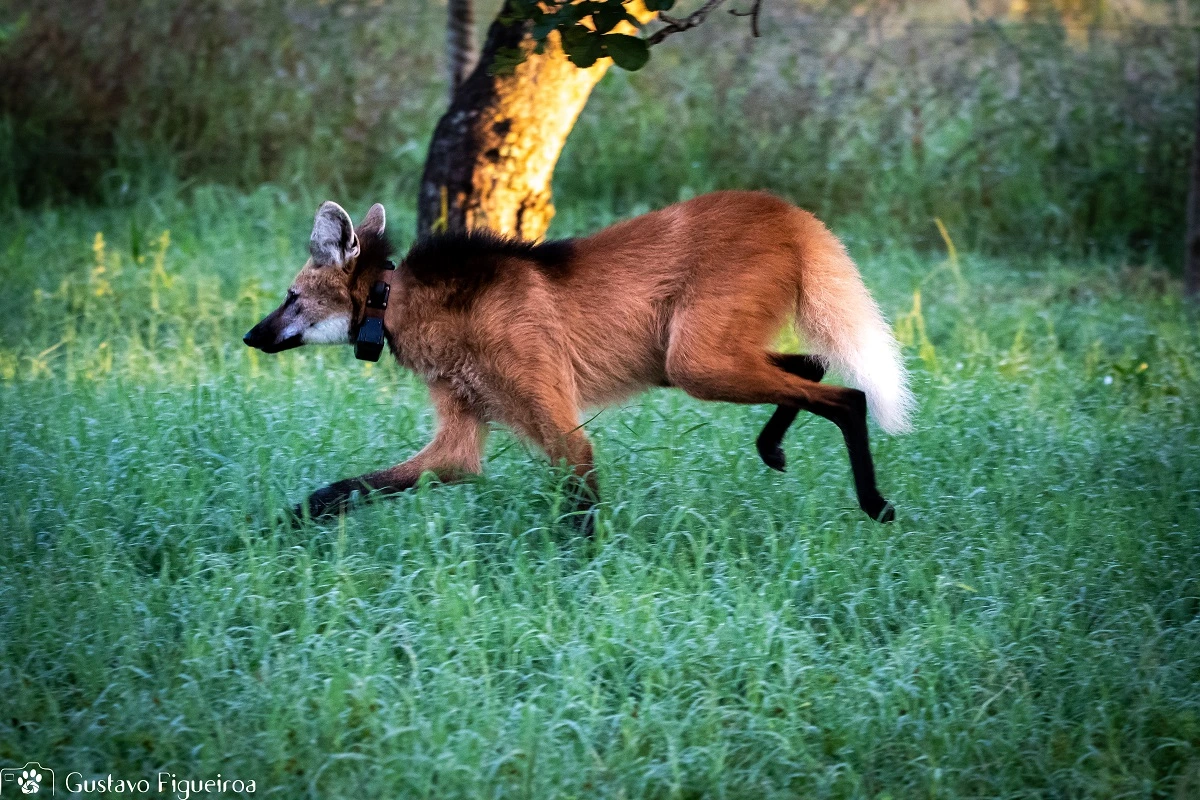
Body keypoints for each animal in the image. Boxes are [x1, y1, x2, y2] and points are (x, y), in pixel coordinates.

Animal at [246, 190, 916, 527]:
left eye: (291, 297)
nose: (251, 337)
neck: (406, 304)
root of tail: (790, 213)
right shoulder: (462, 428)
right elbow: (350, 486)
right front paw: (284, 526)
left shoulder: (554, 415)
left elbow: (580, 497)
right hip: (702, 355)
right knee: (811, 365)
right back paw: (773, 447)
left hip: (694, 362)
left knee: (849, 395)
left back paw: (874, 504)